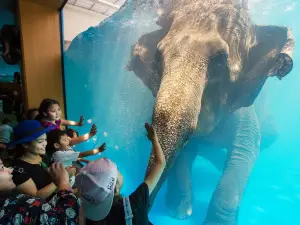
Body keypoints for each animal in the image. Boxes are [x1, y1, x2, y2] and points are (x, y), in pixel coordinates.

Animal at [126, 0, 296, 224]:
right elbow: (186, 154)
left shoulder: (244, 115)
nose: (143, 209)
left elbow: (246, 151)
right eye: (158, 56)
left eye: (220, 60)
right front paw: (180, 212)